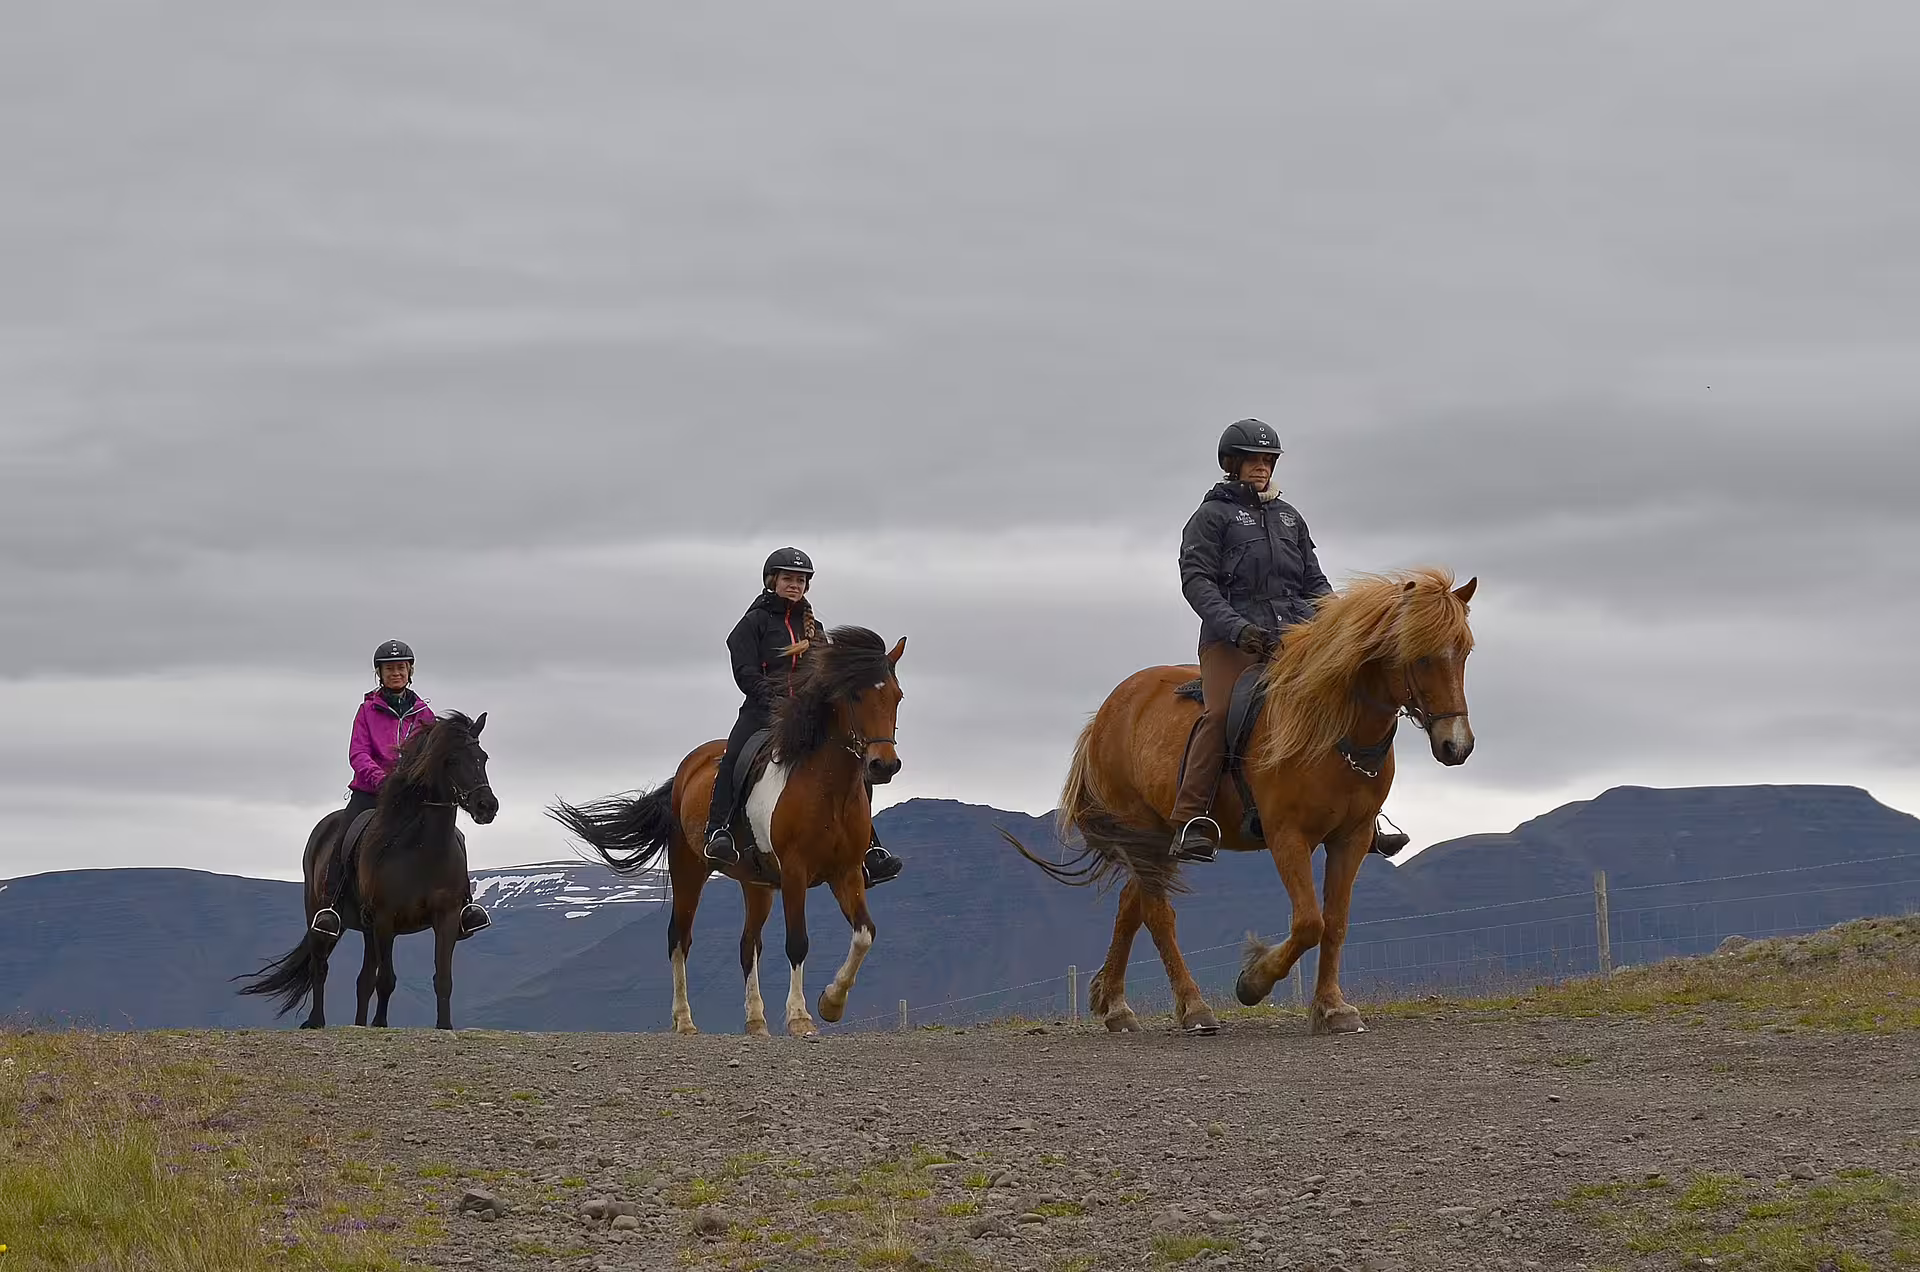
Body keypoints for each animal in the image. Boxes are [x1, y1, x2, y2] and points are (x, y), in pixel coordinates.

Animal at [236, 712, 498, 1030]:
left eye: (483, 758)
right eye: (452, 760)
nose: (487, 806)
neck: (422, 848)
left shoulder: (445, 917)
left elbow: (442, 979)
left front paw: (444, 1026)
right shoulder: (386, 919)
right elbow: (386, 980)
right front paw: (380, 1024)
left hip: (367, 930)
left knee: (362, 981)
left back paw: (358, 1024)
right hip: (321, 917)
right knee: (320, 967)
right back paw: (316, 1021)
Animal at [549, 627, 905, 1037]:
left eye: (896, 696)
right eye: (855, 695)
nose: (883, 765)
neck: (827, 789)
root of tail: (687, 769)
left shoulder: (846, 874)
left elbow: (865, 934)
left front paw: (831, 1003)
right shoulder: (795, 872)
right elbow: (797, 943)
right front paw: (800, 1017)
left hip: (757, 884)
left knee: (748, 944)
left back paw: (756, 1021)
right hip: (689, 870)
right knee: (679, 939)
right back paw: (685, 1021)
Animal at [1009, 568, 1477, 1036]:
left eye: (1465, 651)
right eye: (1420, 656)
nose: (1457, 745)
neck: (1330, 726)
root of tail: (1108, 711)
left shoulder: (1352, 838)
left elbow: (1335, 923)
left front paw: (1332, 1008)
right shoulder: (1287, 836)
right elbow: (1309, 923)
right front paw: (1254, 981)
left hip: (1158, 840)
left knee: (1131, 906)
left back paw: (1117, 1008)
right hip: (1142, 834)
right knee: (1158, 915)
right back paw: (1193, 1007)